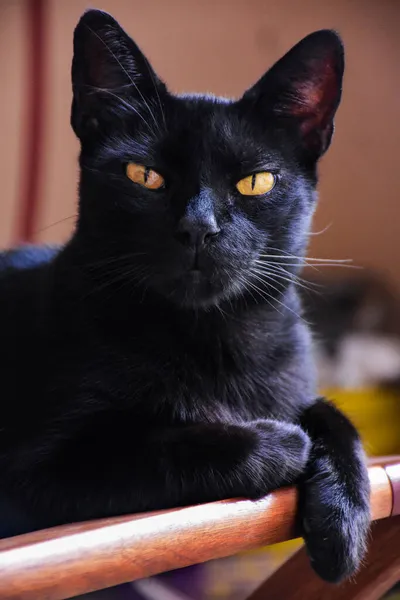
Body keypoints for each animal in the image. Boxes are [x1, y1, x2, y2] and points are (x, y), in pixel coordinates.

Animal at [0, 9, 368, 580]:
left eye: (256, 182)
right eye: (144, 175)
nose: (199, 227)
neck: (213, 339)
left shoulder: (294, 382)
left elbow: (334, 417)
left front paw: (342, 524)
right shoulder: (32, 473)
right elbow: (154, 448)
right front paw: (283, 442)